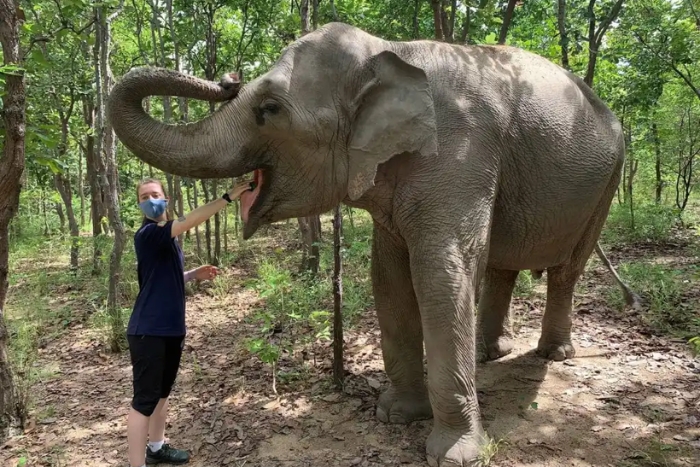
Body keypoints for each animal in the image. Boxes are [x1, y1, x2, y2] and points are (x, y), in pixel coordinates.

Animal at [108, 22, 628, 467]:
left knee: (567, 269)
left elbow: (441, 274)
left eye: (269, 108)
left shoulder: (461, 155)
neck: (391, 52)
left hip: (609, 181)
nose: (227, 79)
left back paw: (553, 355)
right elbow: (389, 277)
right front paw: (395, 415)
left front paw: (454, 454)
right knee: (504, 264)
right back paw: (490, 352)